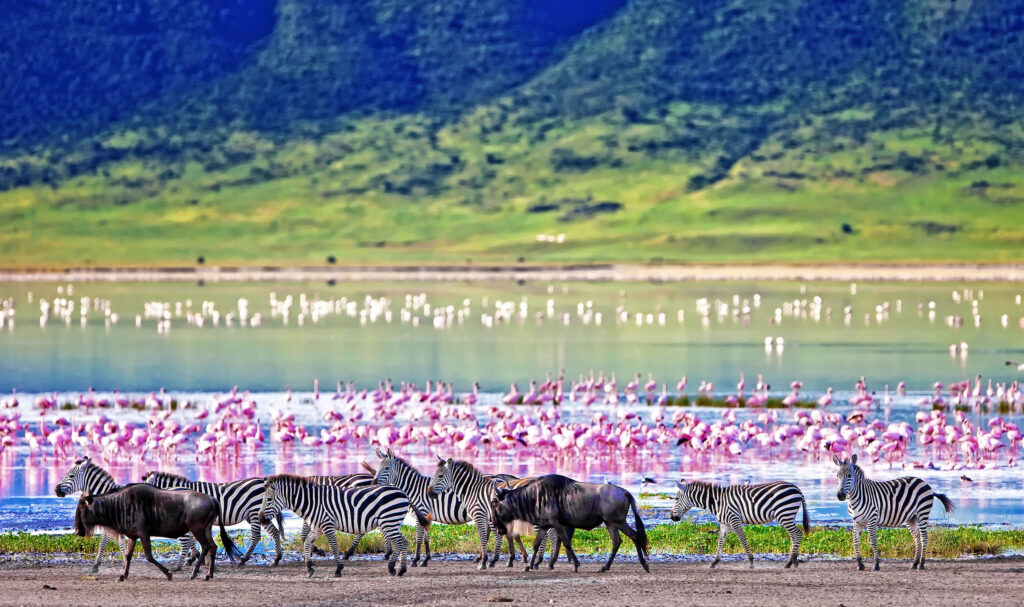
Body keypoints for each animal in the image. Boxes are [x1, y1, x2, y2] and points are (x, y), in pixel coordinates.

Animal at [143, 471, 284, 568]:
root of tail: (263, 481)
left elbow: (191, 540)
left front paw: (196, 557)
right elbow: (193, 540)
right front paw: (196, 557)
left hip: (255, 512)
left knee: (256, 536)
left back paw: (243, 560)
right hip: (258, 515)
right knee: (274, 531)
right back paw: (277, 558)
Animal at [257, 473, 426, 577]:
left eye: (269, 499)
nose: (260, 518)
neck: (313, 502)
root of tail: (403, 493)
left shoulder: (327, 525)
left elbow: (333, 546)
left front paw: (338, 569)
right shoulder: (318, 528)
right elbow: (306, 543)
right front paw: (309, 567)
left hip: (389, 521)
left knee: (402, 542)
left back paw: (401, 570)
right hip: (390, 523)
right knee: (399, 543)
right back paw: (392, 568)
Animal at [428, 456, 557, 571]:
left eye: (440, 476)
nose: (429, 493)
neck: (472, 491)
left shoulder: (479, 515)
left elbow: (482, 537)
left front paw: (484, 562)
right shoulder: (487, 517)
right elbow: (490, 536)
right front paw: (489, 560)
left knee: (548, 534)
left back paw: (540, 563)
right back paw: (543, 563)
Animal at [671, 479, 810, 569]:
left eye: (676, 499)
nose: (672, 517)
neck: (718, 502)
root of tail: (797, 488)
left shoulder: (735, 520)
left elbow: (742, 540)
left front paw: (751, 562)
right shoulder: (724, 524)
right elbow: (720, 542)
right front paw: (714, 562)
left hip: (784, 513)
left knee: (798, 533)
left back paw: (790, 562)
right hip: (788, 515)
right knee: (793, 535)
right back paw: (792, 561)